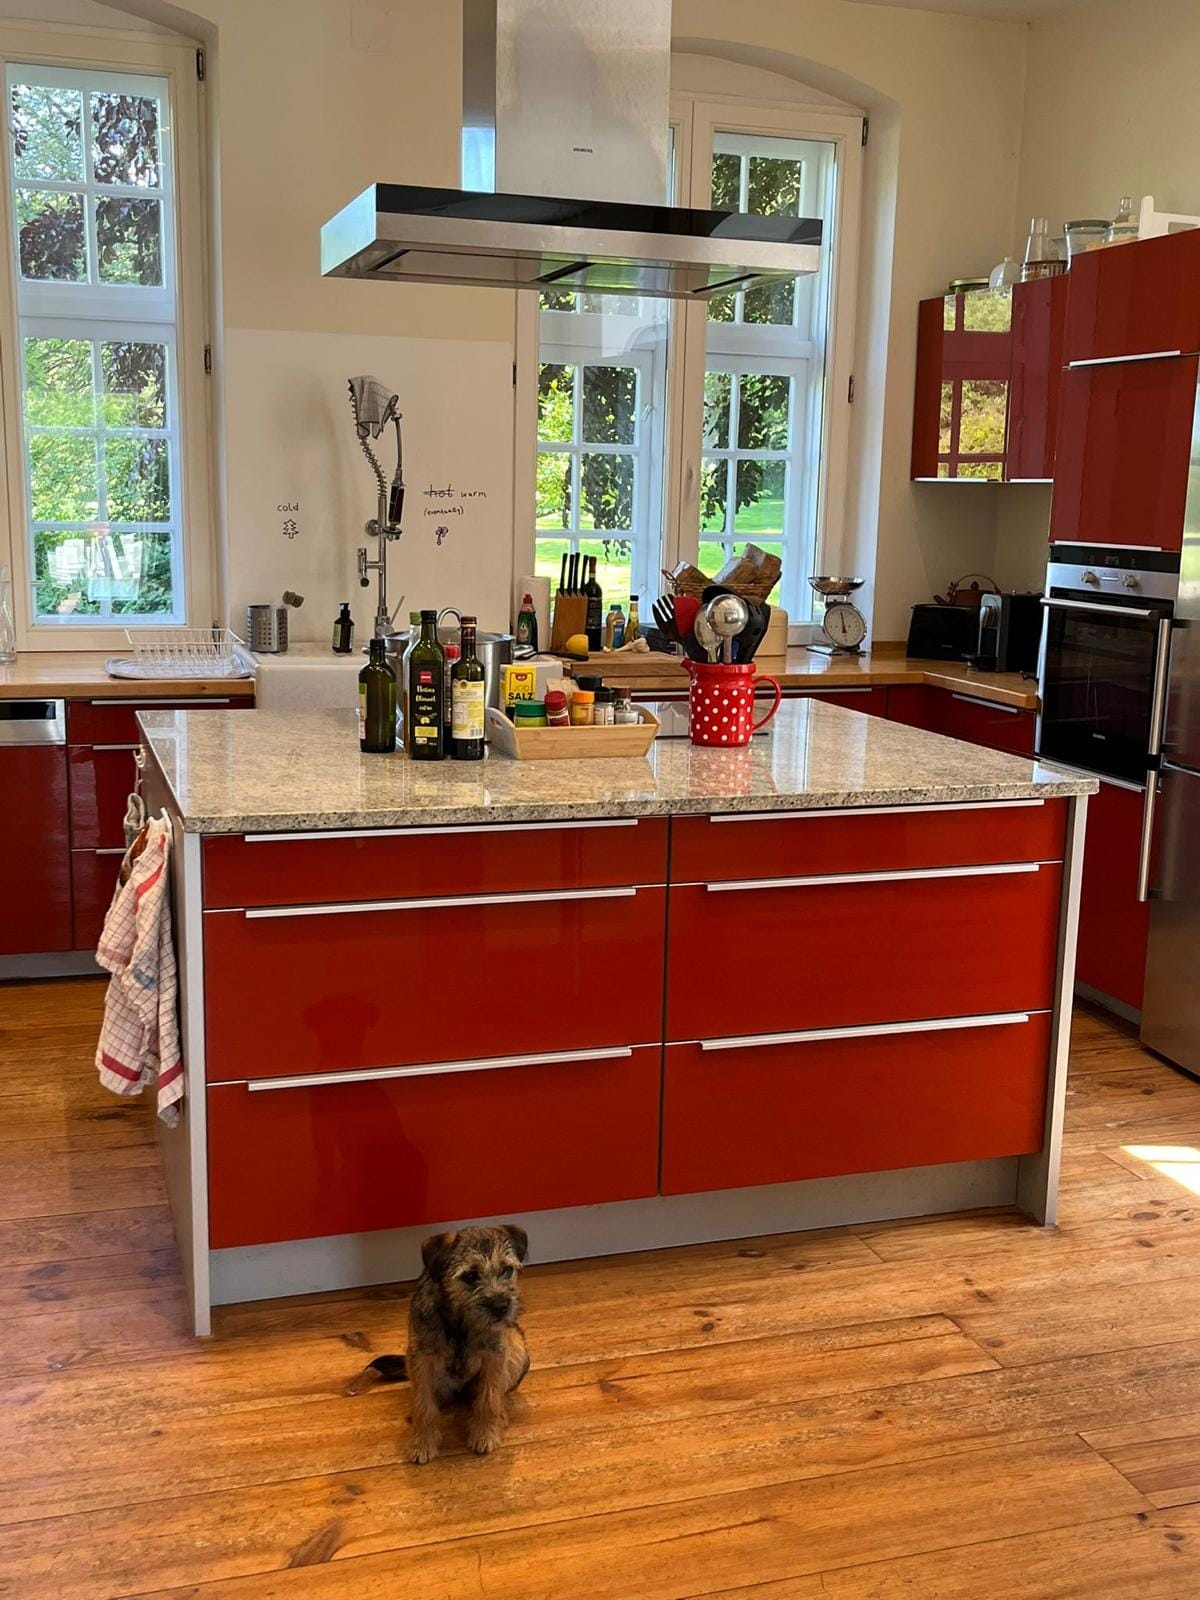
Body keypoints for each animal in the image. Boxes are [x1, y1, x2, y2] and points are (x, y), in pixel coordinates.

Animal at [348, 1224, 530, 1464]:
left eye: (507, 1270)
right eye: (470, 1275)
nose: (501, 1307)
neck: (460, 1322)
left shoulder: (495, 1354)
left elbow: (489, 1398)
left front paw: (485, 1434)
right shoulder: (421, 1357)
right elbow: (424, 1405)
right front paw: (422, 1444)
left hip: (517, 1345)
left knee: (498, 1393)